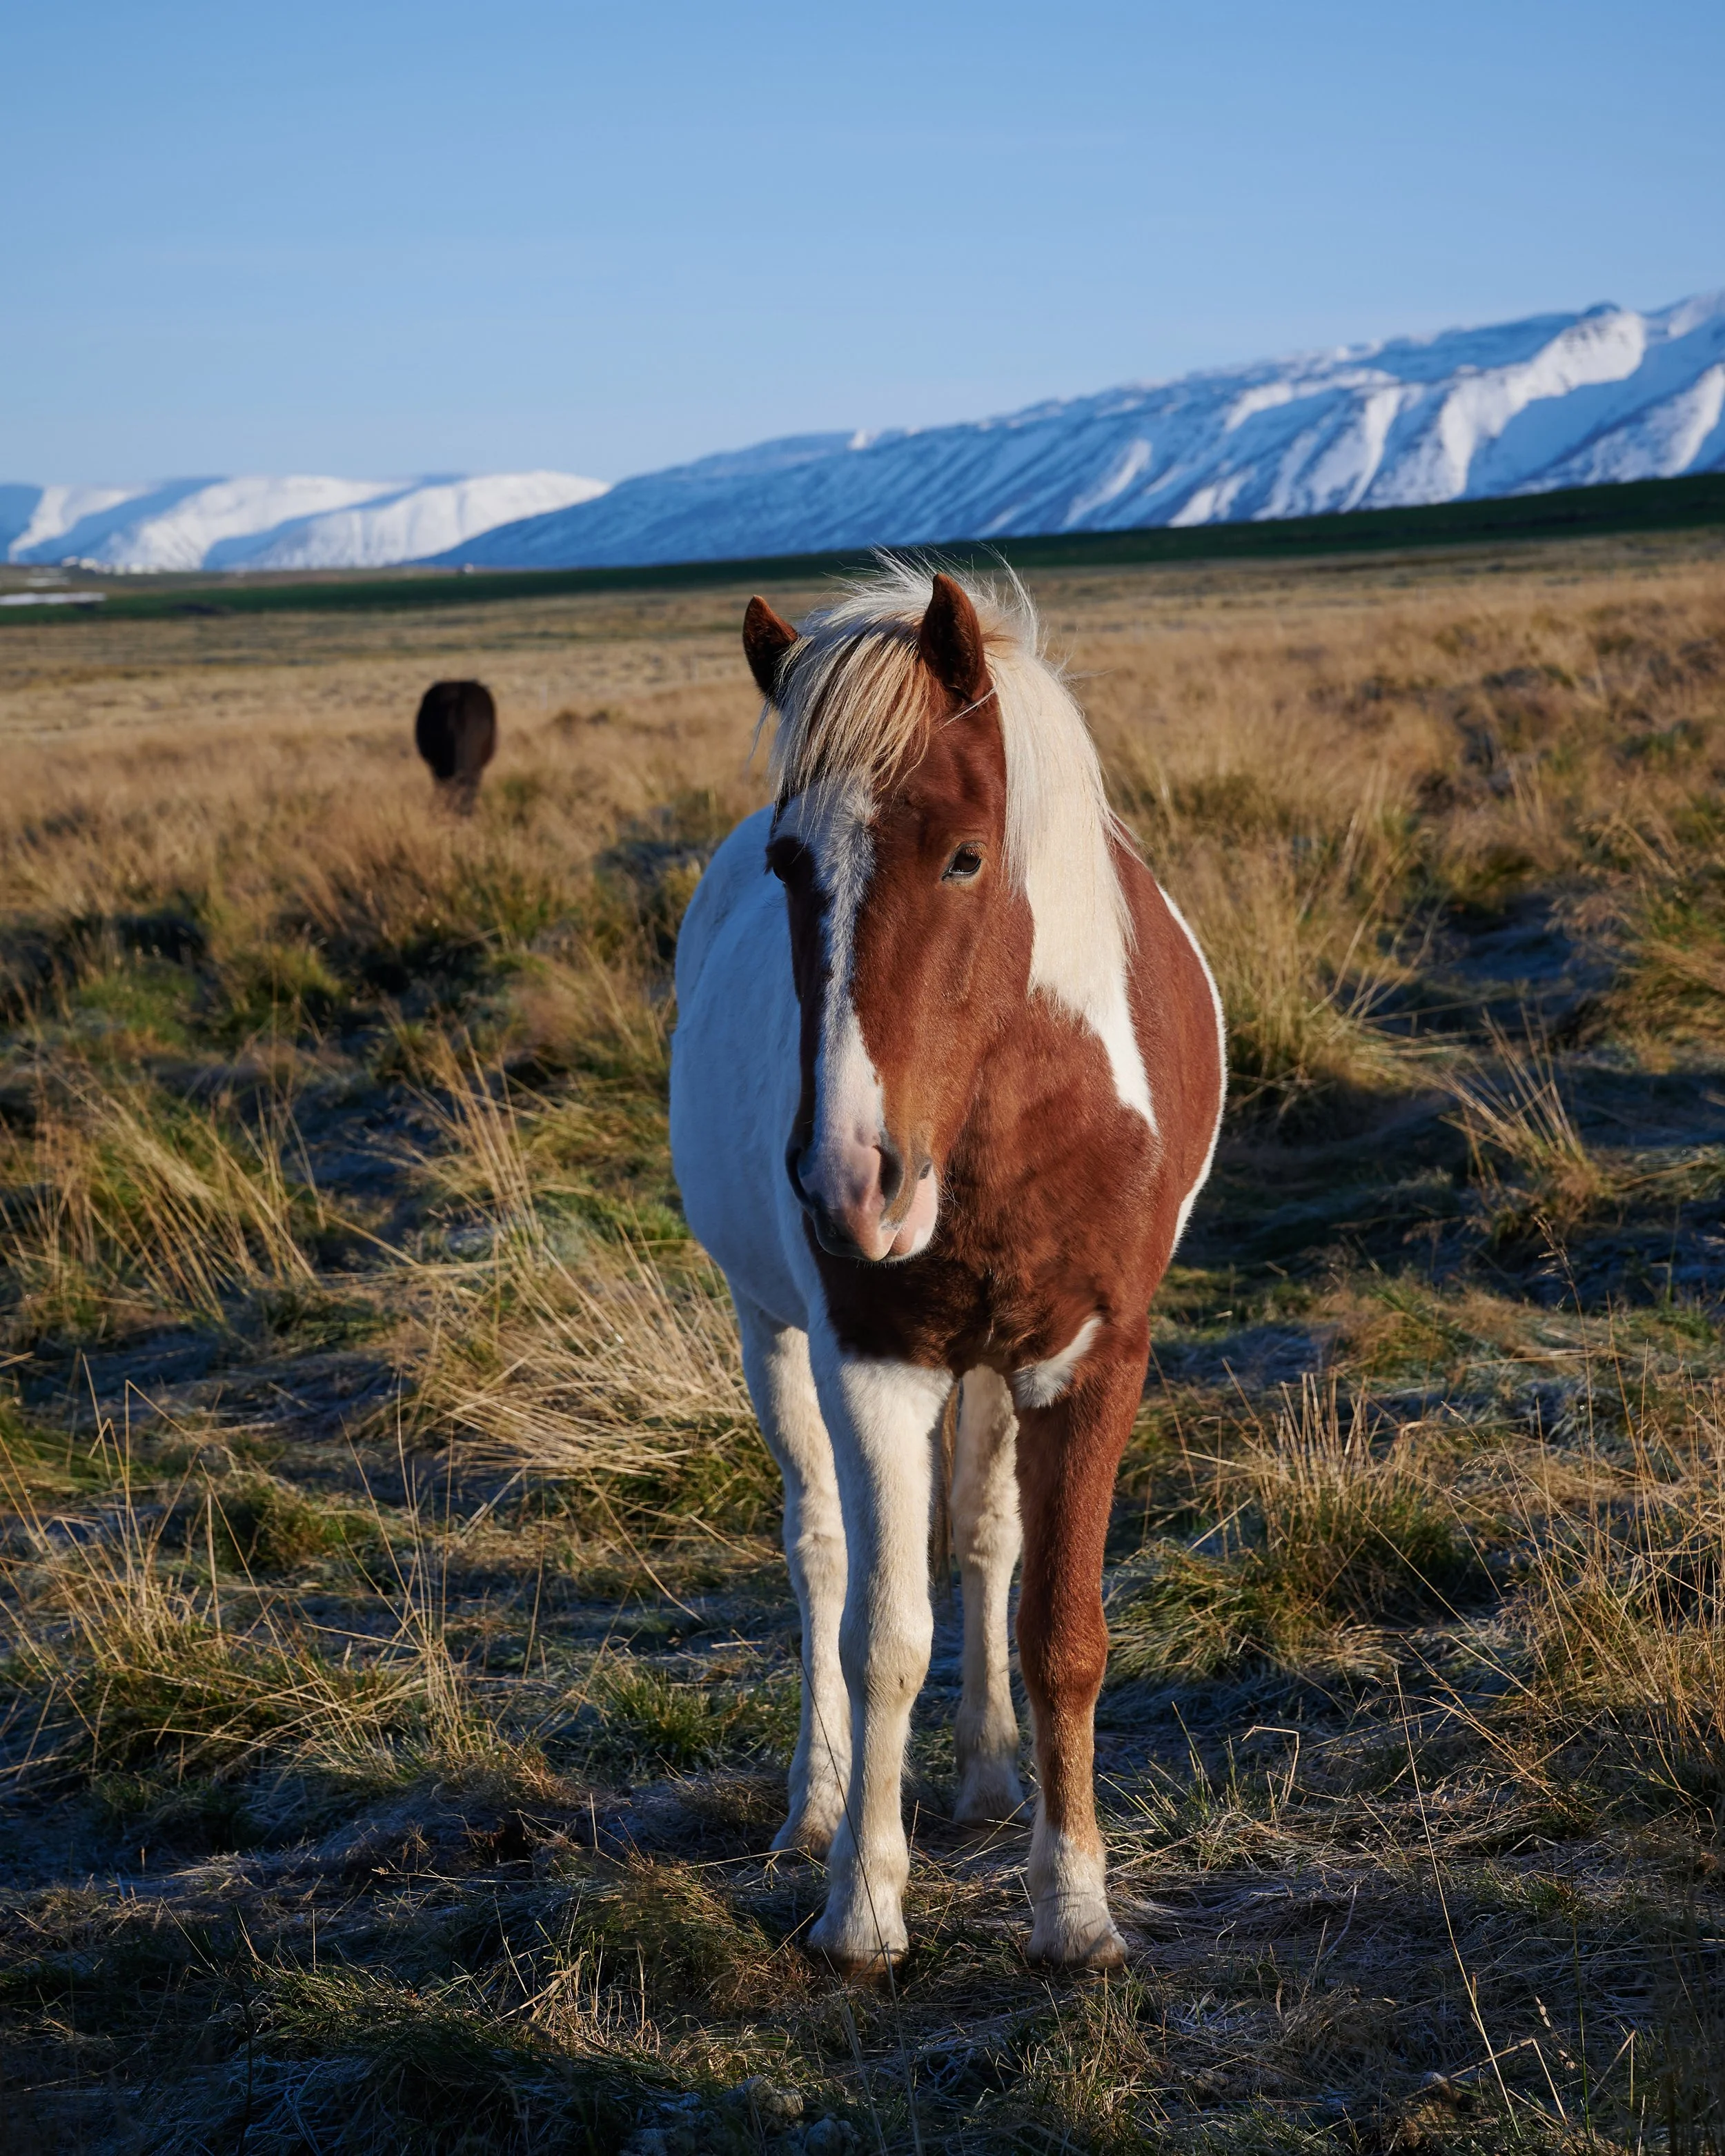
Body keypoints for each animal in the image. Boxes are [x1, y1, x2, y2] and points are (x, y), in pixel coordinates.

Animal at [669, 563, 1225, 1973]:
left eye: (967, 855)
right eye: (790, 864)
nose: (848, 1181)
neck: (1012, 1109)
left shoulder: (1090, 1358)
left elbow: (1057, 1628)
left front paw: (1073, 1904)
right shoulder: (874, 1359)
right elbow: (884, 1634)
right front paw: (863, 1904)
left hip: (993, 1360)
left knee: (982, 1535)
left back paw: (987, 1779)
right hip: (771, 1331)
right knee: (820, 1550)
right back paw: (815, 1807)